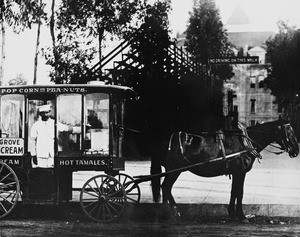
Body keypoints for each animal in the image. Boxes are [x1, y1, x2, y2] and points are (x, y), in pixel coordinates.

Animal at [151, 119, 298, 221]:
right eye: (289, 132)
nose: (296, 150)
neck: (244, 143)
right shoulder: (240, 172)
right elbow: (239, 193)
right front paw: (241, 216)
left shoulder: (236, 172)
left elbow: (234, 192)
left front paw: (232, 214)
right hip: (174, 171)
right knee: (166, 187)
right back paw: (170, 213)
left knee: (166, 188)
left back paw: (170, 212)